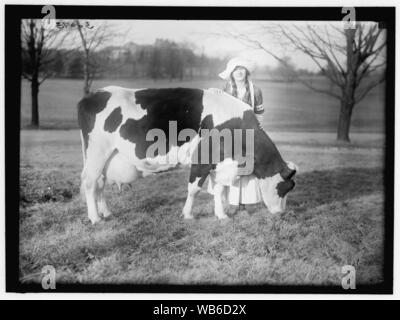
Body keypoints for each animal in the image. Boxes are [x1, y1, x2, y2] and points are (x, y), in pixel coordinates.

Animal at [78, 86, 296, 224]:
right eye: (285, 188)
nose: (282, 214)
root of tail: (93, 94)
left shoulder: (219, 163)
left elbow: (219, 190)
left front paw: (221, 215)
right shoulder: (202, 159)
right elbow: (194, 189)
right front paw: (188, 214)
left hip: (105, 159)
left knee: (100, 184)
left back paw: (106, 212)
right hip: (97, 153)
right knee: (90, 183)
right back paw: (95, 218)